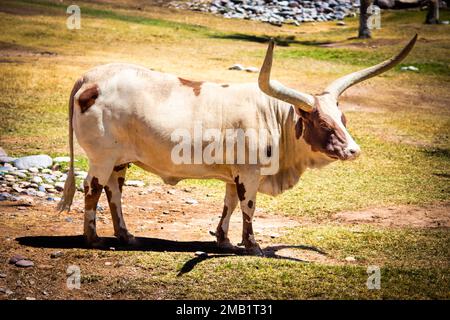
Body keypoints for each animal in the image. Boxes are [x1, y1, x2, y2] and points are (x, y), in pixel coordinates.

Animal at [59, 35, 418, 255]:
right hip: (101, 156)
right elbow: (248, 207)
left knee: (114, 191)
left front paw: (225, 240)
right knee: (92, 188)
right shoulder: (250, 173)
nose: (353, 150)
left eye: (343, 118)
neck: (275, 119)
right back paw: (92, 238)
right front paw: (252, 246)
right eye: (322, 123)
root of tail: (91, 78)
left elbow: (229, 204)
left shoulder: (234, 174)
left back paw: (126, 235)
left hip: (120, 159)